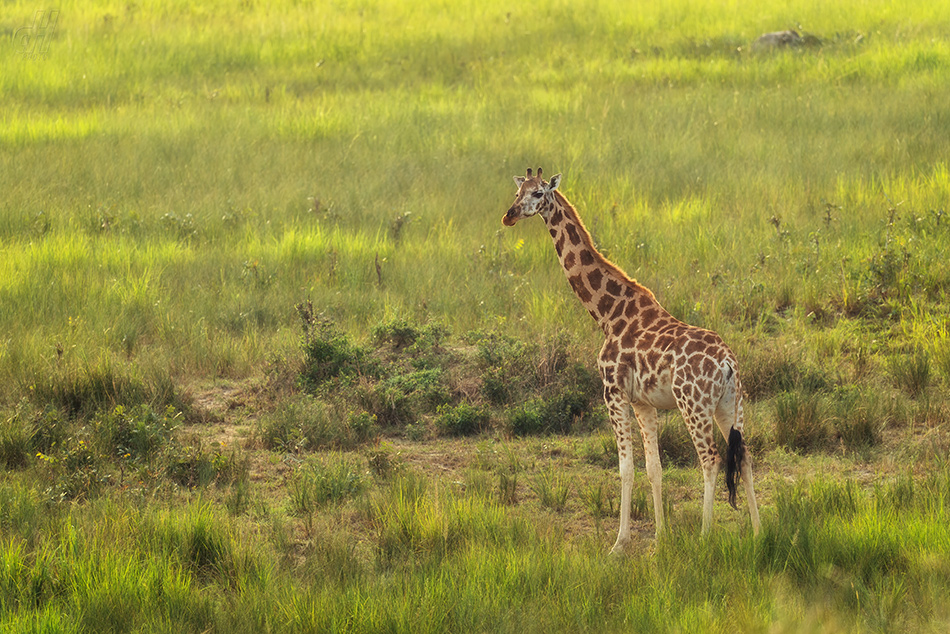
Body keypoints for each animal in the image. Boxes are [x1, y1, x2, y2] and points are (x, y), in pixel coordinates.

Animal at [502, 165, 764, 552]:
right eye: (518, 192)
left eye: (538, 194)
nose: (509, 215)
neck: (607, 314)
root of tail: (728, 364)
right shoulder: (643, 402)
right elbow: (654, 468)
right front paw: (660, 537)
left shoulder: (613, 392)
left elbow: (626, 468)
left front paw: (619, 544)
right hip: (731, 405)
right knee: (743, 456)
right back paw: (760, 532)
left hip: (694, 404)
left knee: (712, 458)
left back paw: (705, 535)